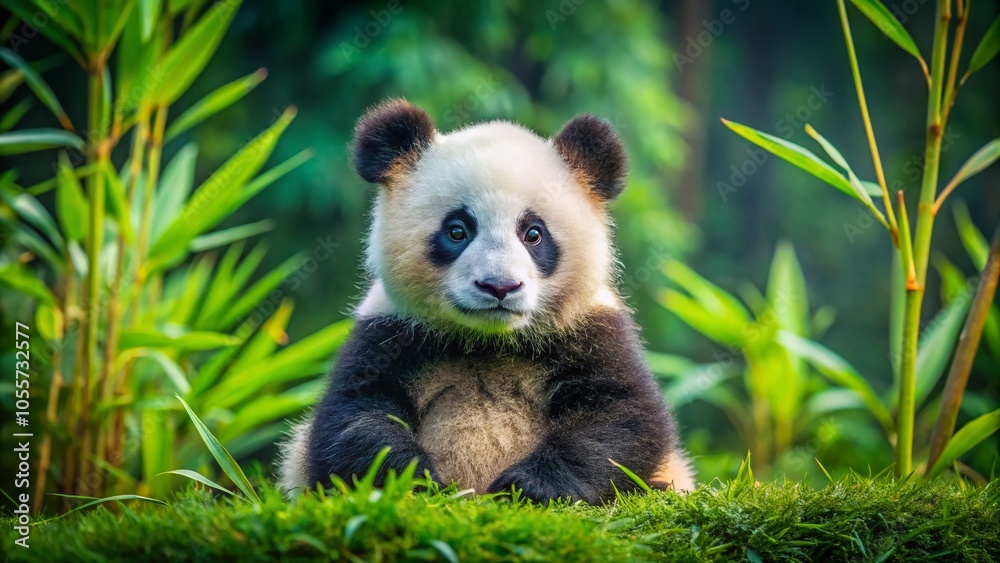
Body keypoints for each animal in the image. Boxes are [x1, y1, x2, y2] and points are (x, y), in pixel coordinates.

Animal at [278, 98, 694, 503]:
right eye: (457, 231)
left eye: (533, 233)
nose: (499, 286)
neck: (488, 341)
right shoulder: (387, 330)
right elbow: (355, 417)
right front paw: (421, 482)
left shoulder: (592, 328)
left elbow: (621, 416)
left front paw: (529, 486)